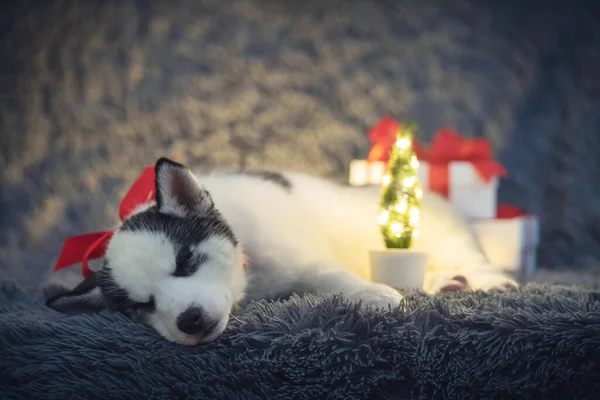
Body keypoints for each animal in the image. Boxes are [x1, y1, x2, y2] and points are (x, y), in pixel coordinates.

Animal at [47, 158, 516, 346]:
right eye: (141, 307)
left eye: (185, 262)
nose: (189, 320)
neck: (251, 278)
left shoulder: (304, 257)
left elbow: (330, 274)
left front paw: (372, 294)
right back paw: (449, 282)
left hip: (439, 228)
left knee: (467, 255)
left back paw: (484, 280)